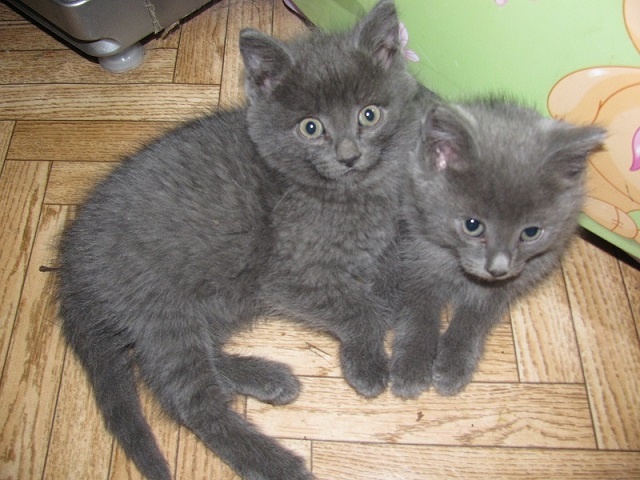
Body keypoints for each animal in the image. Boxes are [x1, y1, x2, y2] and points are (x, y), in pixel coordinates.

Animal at [56, 1, 420, 479]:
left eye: (369, 114)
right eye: (310, 127)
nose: (348, 156)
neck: (347, 194)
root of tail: (72, 262)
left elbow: (393, 273)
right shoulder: (287, 277)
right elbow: (359, 307)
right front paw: (367, 362)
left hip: (218, 298)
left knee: (169, 361)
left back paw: (266, 379)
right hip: (164, 304)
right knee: (186, 401)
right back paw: (277, 461)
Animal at [390, 93, 606, 399]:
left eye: (531, 232)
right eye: (472, 225)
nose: (498, 268)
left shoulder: (511, 282)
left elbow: (475, 317)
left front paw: (453, 364)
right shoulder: (415, 253)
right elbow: (418, 310)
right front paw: (411, 366)